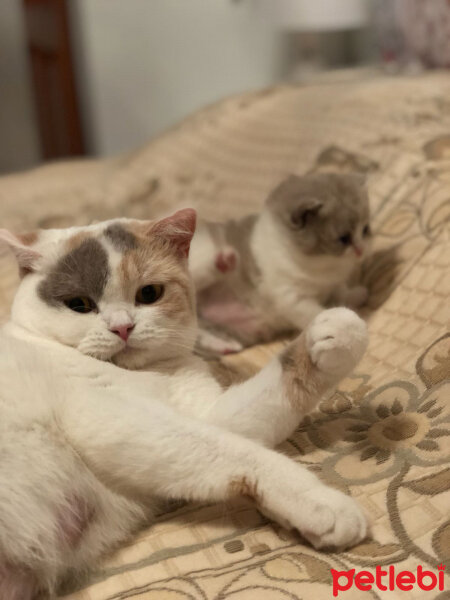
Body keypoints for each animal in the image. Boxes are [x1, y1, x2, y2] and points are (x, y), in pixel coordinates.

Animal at [0, 209, 370, 596]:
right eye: (80, 304)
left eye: (149, 294)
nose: (122, 328)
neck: (148, 375)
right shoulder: (109, 417)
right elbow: (240, 453)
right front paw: (323, 503)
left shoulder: (206, 413)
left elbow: (263, 406)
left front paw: (341, 331)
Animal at [190, 171, 372, 354]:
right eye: (344, 239)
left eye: (365, 230)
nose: (361, 250)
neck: (321, 263)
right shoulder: (291, 299)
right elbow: (316, 312)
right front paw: (337, 322)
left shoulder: (332, 283)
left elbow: (341, 291)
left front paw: (355, 296)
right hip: (201, 257)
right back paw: (223, 261)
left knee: (198, 334)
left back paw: (224, 345)